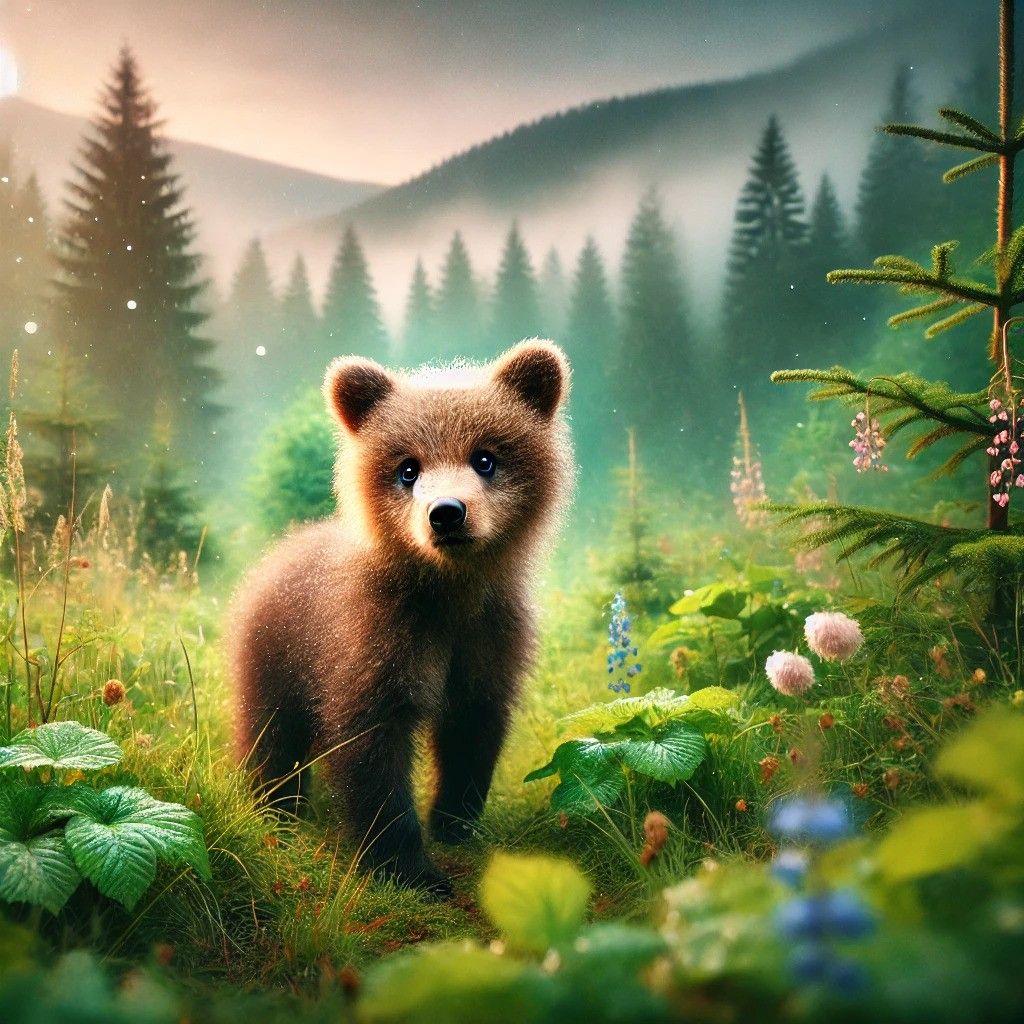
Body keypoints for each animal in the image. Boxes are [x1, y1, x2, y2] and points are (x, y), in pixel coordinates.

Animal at [229, 339, 572, 896]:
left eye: (485, 458)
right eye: (408, 468)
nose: (447, 513)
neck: (447, 595)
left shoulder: (486, 638)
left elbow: (472, 731)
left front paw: (454, 823)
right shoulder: (376, 640)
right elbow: (373, 753)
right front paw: (411, 869)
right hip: (274, 654)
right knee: (270, 736)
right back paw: (275, 808)